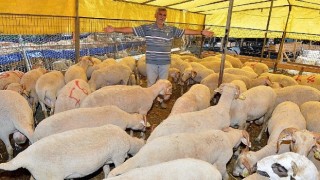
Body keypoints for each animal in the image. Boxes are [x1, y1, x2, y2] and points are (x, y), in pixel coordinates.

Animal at [0, 124, 144, 179]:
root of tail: (24, 157)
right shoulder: (118, 157)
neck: (129, 141)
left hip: (38, 176)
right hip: (50, 177)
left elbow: (107, 170)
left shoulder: (106, 160)